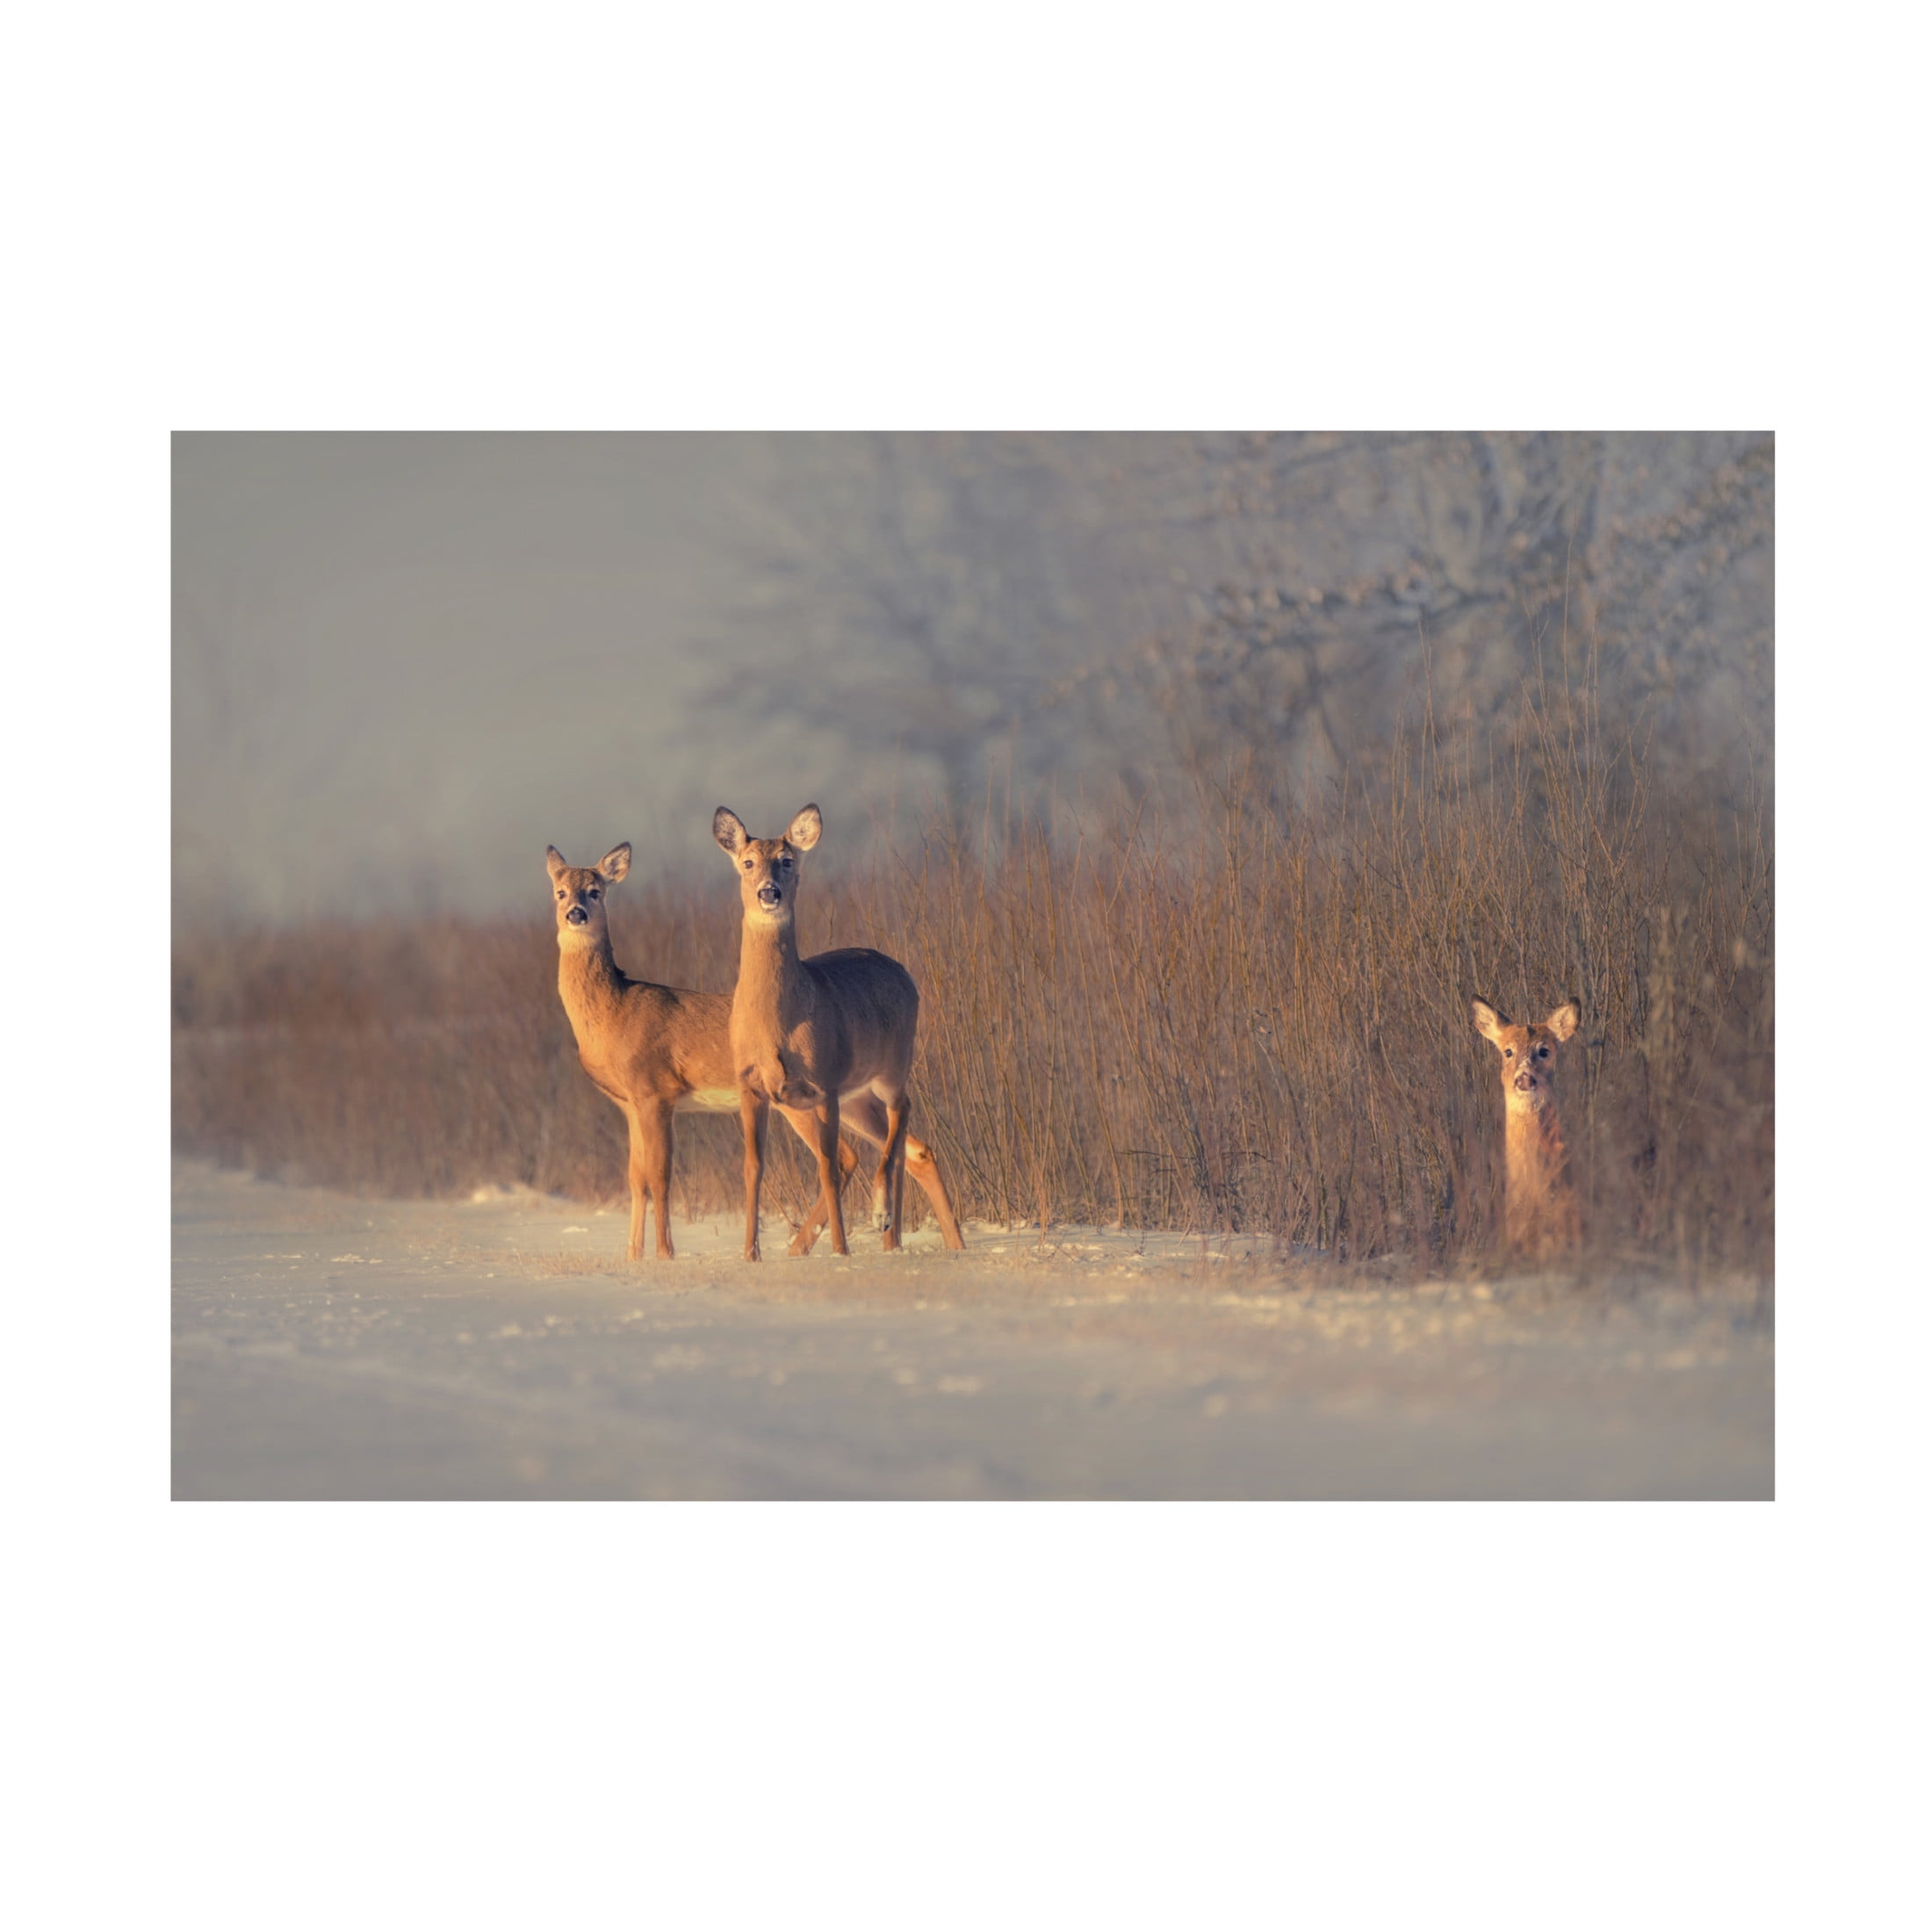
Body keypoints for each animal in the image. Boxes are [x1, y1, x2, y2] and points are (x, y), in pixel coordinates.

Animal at [546, 841, 887, 1263]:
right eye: (560, 891)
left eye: (595, 891)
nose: (575, 913)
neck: (614, 1013)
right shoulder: (629, 1104)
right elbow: (636, 1178)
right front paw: (632, 1257)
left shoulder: (656, 1092)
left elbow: (660, 1175)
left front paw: (665, 1253)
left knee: (845, 1154)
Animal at [712, 804, 966, 1262]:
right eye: (748, 862)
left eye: (788, 860)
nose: (769, 893)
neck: (777, 1023)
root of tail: (904, 973)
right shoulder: (752, 1085)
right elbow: (752, 1168)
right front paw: (750, 1255)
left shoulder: (824, 1083)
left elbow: (828, 1167)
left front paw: (841, 1250)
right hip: (857, 1098)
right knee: (913, 1147)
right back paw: (923, 1241)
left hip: (892, 1065)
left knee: (903, 1113)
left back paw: (883, 1217)